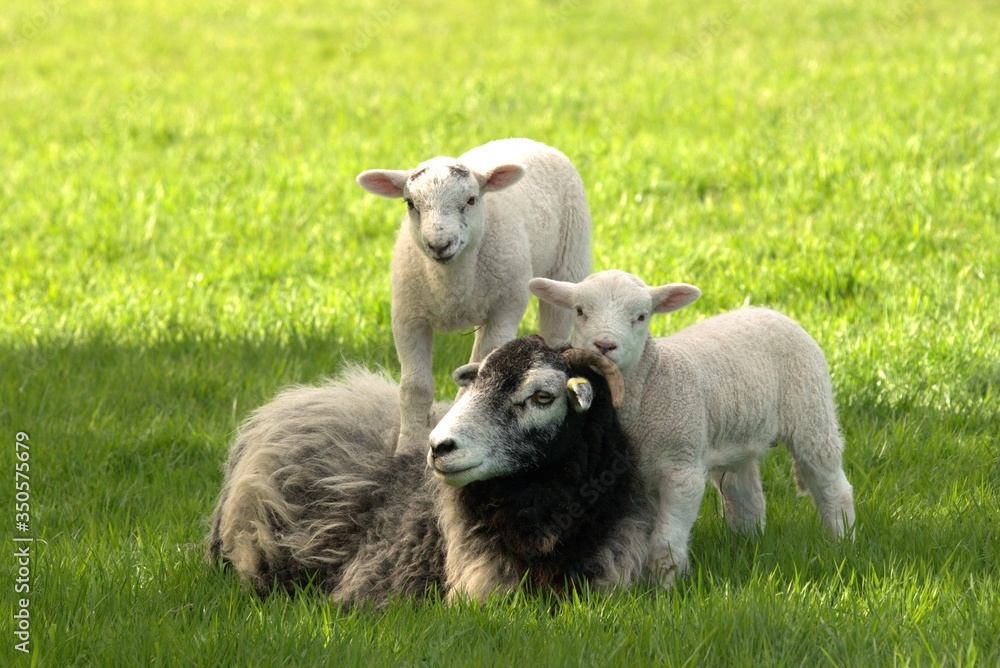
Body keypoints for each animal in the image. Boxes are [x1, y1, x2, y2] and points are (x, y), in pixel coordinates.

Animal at [356, 138, 592, 453]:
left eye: (470, 200)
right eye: (411, 203)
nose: (440, 244)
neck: (451, 287)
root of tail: (525, 140)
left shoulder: (504, 311)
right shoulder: (408, 317)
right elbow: (415, 387)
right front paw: (406, 449)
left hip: (568, 261)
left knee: (555, 332)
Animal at [529, 270, 856, 586]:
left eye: (642, 316)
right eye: (579, 311)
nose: (605, 346)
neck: (652, 380)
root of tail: (768, 311)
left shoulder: (682, 467)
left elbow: (665, 542)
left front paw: (665, 590)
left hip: (810, 409)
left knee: (831, 485)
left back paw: (841, 541)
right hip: (739, 435)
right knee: (745, 496)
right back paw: (748, 545)